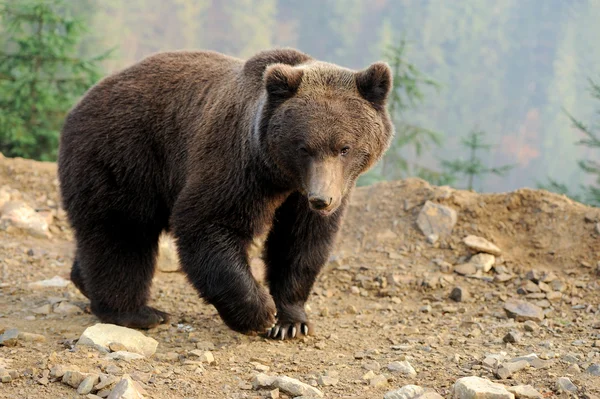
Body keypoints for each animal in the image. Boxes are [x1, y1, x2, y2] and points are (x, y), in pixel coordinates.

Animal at [55, 47, 394, 340]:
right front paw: (261, 313)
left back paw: (84, 281)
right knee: (121, 233)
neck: (282, 176)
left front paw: (291, 321)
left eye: (344, 147)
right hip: (124, 155)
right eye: (304, 147)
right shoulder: (239, 163)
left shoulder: (306, 193)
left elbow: (299, 242)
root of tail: (81, 102)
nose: (322, 200)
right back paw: (137, 313)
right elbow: (208, 223)